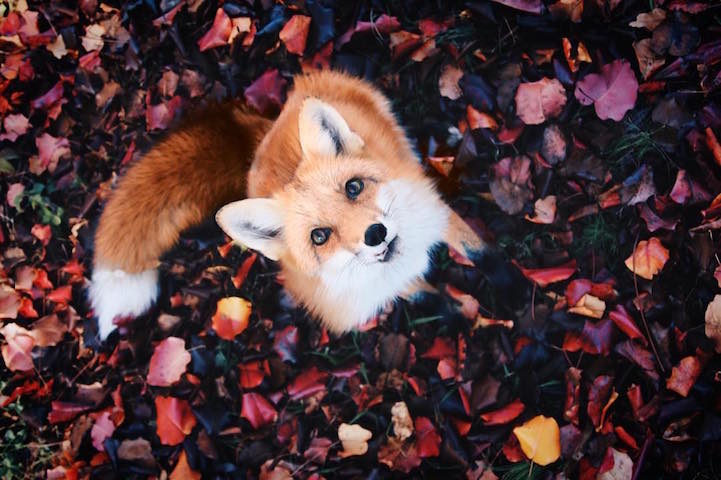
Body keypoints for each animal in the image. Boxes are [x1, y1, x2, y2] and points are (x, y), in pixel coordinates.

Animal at [90, 70, 496, 340]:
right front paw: (456, 315)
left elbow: (480, 252)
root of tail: (266, 131)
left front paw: (504, 286)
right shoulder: (385, 288)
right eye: (319, 236)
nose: (375, 234)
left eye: (353, 187)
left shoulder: (439, 214)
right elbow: (427, 297)